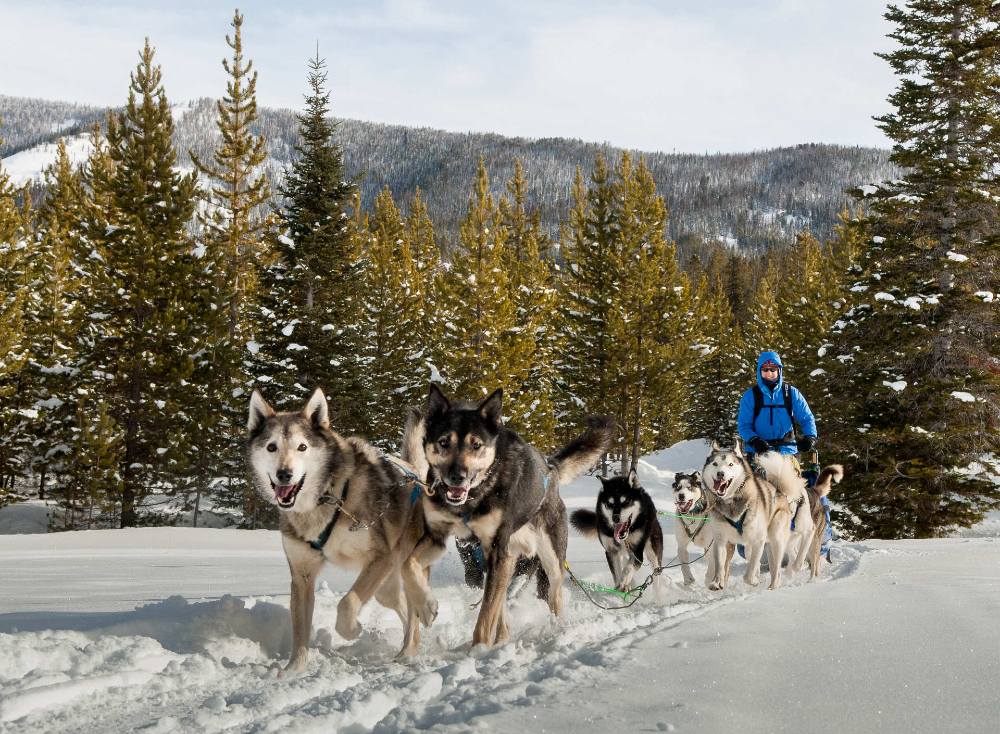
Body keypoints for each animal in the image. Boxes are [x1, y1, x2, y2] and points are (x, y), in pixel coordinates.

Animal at [250, 392, 426, 672]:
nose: (284, 474)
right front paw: (293, 671)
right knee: (396, 601)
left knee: (413, 611)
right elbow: (299, 632)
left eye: (302, 447)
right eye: (271, 447)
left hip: (401, 566)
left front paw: (352, 630)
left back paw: (409, 649)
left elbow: (347, 603)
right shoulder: (302, 575)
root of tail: (415, 472)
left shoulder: (381, 557)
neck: (326, 497)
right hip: (385, 586)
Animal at [572, 468, 664, 600]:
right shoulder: (611, 551)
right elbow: (616, 572)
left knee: (656, 575)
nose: (615, 518)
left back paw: (657, 597)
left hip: (653, 552)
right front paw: (620, 587)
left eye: (625, 501)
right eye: (609, 504)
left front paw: (624, 582)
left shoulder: (637, 553)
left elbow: (628, 569)